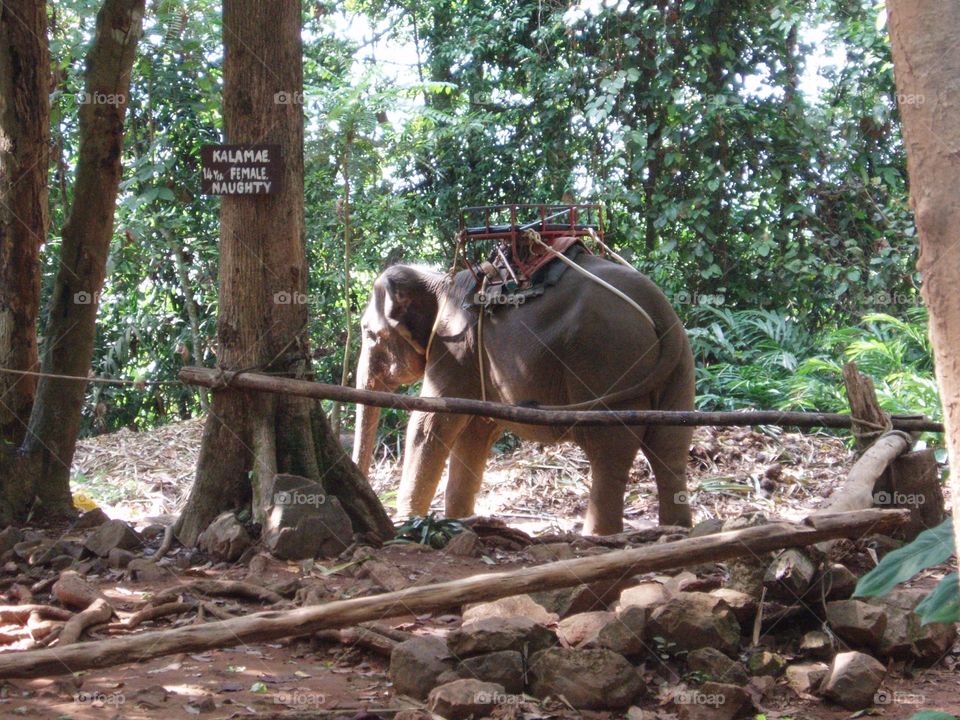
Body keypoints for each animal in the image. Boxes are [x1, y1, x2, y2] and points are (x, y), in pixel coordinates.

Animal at [352, 252, 696, 535]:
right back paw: (676, 529)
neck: (439, 281)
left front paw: (409, 524)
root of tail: (658, 305)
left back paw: (598, 536)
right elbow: (476, 431)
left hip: (608, 360)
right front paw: (461, 520)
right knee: (670, 445)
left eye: (369, 334)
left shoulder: (454, 345)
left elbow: (431, 423)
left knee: (609, 451)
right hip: (680, 367)